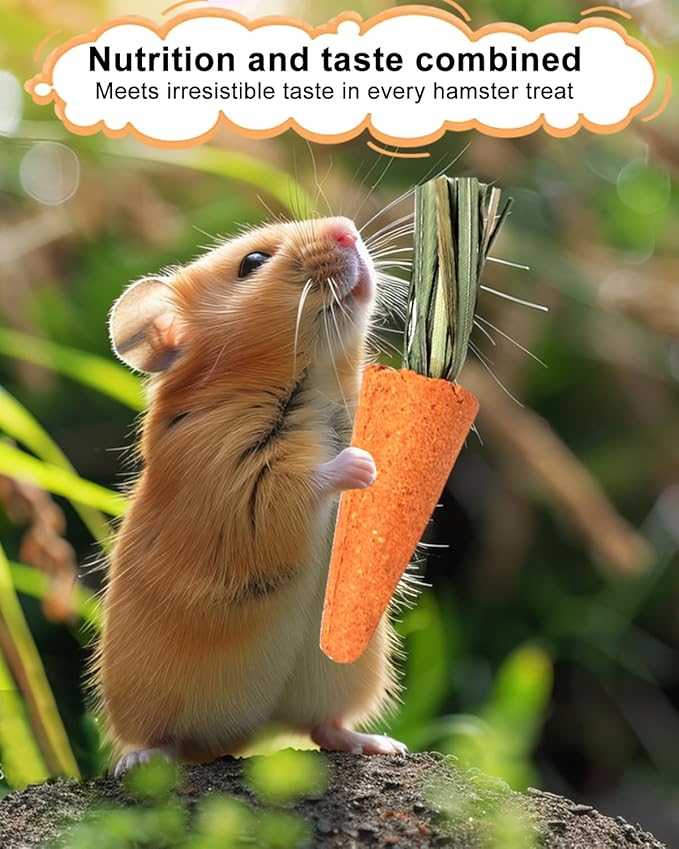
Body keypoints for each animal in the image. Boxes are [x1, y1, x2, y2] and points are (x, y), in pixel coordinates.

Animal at [95, 215, 406, 775]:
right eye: (253, 263)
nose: (347, 229)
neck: (316, 380)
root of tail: (242, 737)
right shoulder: (235, 481)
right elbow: (305, 486)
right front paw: (359, 465)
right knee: (162, 740)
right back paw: (142, 761)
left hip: (341, 673)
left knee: (323, 727)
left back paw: (379, 744)